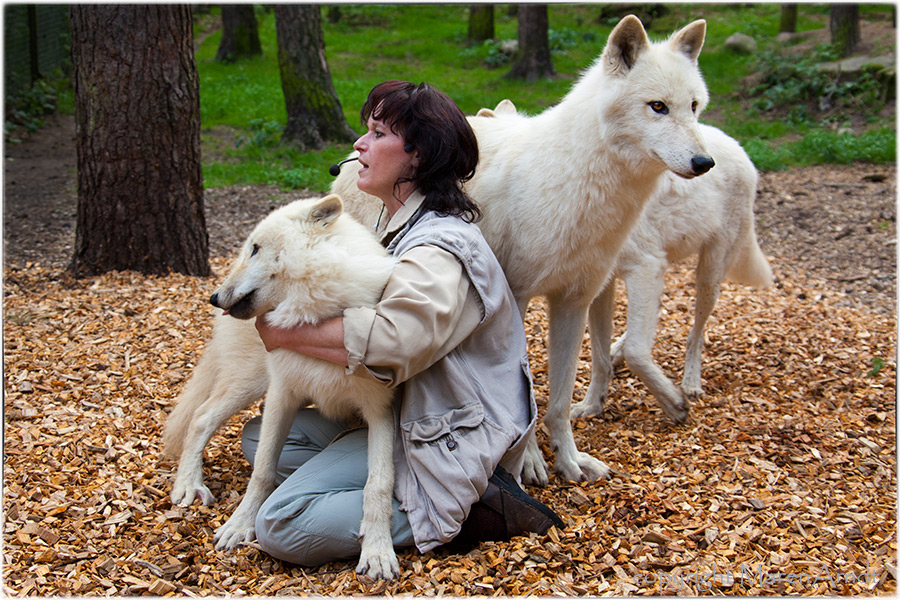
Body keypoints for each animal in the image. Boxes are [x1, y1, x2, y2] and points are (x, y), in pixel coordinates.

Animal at [163, 195, 400, 580]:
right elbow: (261, 471)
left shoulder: (380, 411)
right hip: (249, 384)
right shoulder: (280, 397)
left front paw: (378, 551)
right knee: (200, 418)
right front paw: (240, 526)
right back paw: (188, 485)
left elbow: (378, 483)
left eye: (257, 249)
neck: (315, 315)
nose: (214, 297)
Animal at [334, 15, 712, 488]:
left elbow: (560, 399)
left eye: (694, 107)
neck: (578, 182)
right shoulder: (518, 297)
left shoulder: (574, 301)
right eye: (657, 106)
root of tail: (352, 154)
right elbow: (524, 390)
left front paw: (570, 461)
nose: (704, 162)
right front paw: (529, 462)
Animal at [572, 122, 768, 422]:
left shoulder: (643, 266)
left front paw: (674, 404)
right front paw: (592, 405)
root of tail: (736, 144)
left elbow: (636, 353)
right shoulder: (601, 285)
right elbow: (599, 356)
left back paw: (691, 384)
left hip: (708, 275)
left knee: (695, 335)